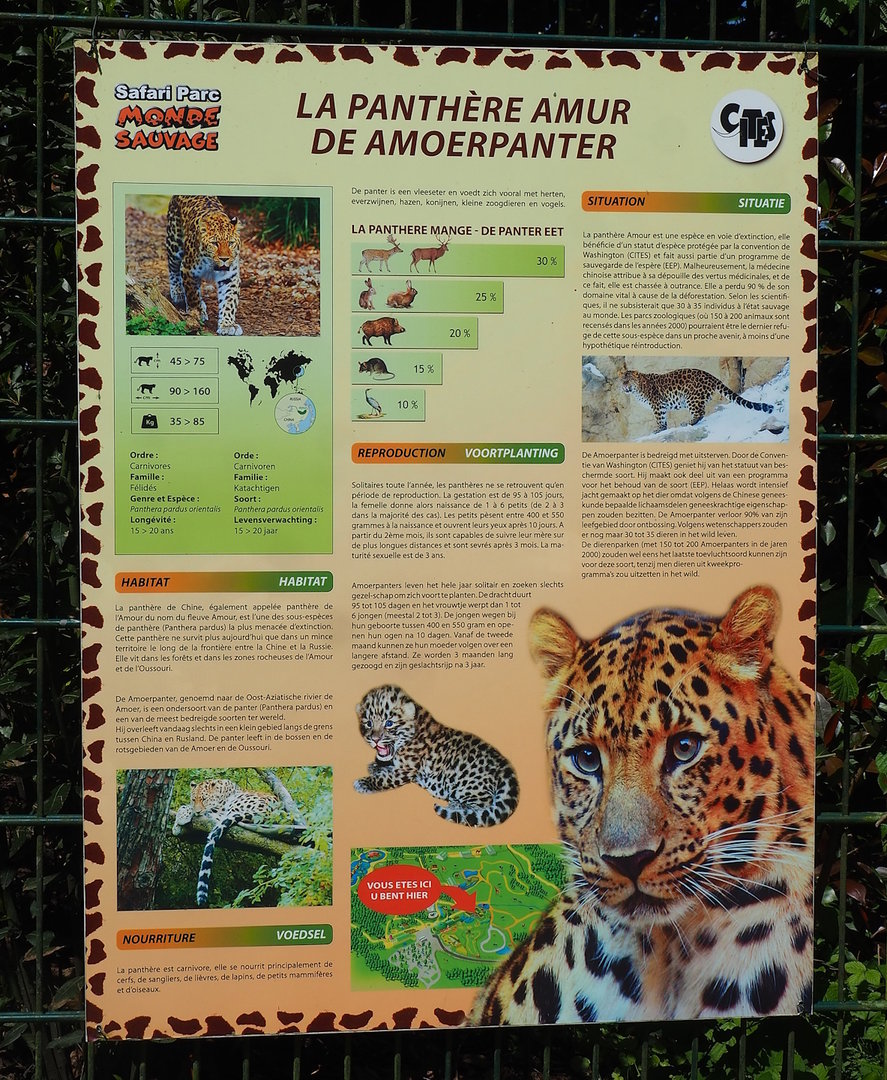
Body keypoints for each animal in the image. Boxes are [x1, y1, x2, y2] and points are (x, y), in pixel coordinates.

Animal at [166, 195, 243, 336]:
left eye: (230, 243)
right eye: (215, 243)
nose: (224, 259)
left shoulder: (230, 277)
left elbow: (229, 301)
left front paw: (227, 325)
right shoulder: (188, 270)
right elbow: (192, 295)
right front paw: (197, 312)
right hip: (174, 244)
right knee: (172, 268)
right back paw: (177, 292)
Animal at [172, 778, 279, 907]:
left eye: (204, 799)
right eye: (194, 799)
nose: (198, 811)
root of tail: (269, 812)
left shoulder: (218, 809)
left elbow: (189, 808)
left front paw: (182, 816)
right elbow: (187, 806)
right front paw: (177, 825)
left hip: (235, 806)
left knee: (216, 817)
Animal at [353, 685, 519, 826]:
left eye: (389, 723)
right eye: (368, 723)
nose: (375, 739)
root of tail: (505, 767)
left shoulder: (407, 770)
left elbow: (385, 779)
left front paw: (363, 783)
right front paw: (375, 766)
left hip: (469, 782)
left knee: (480, 806)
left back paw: (455, 806)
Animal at [621, 368, 774, 432]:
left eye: (629, 381)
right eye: (622, 381)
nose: (624, 387)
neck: (637, 390)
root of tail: (711, 376)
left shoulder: (657, 404)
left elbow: (660, 418)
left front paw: (659, 429)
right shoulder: (660, 405)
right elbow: (663, 418)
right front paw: (662, 428)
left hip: (692, 397)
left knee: (700, 413)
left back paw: (688, 422)